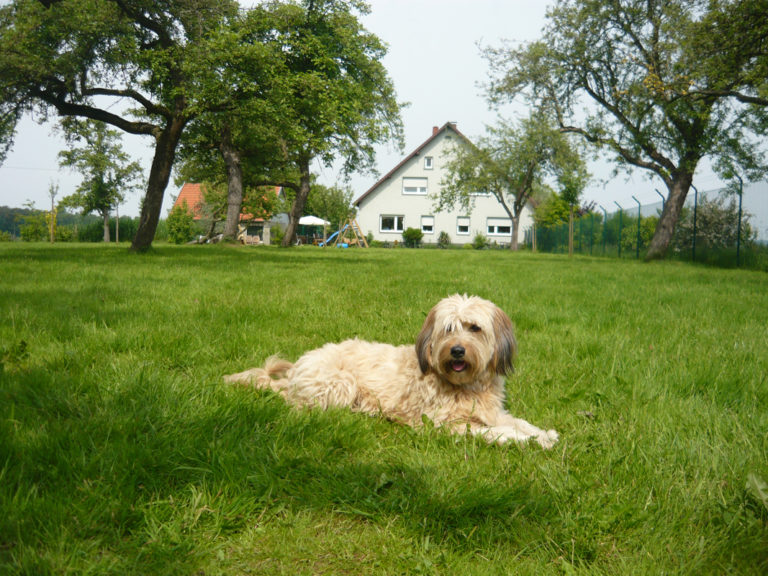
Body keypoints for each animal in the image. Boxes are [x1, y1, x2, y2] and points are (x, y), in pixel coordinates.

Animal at [222, 294, 560, 448]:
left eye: (474, 328)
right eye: (448, 329)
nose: (457, 351)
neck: (466, 385)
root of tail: (294, 372)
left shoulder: (493, 412)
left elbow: (517, 422)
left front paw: (543, 433)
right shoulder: (448, 425)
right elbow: (501, 433)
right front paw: (532, 441)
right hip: (340, 383)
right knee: (302, 407)